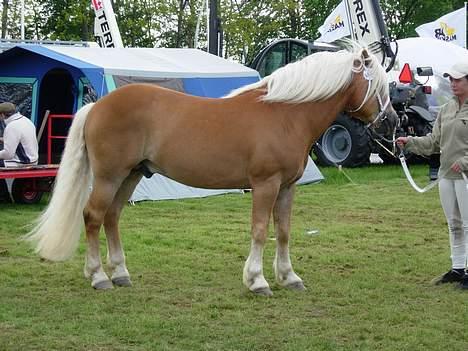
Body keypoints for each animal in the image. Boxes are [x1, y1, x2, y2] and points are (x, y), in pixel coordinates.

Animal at [25, 44, 396, 296]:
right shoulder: (265, 184)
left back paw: (119, 273)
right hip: (108, 176)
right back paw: (99, 276)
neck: (284, 114)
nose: (392, 121)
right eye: (377, 84)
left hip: (130, 175)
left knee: (112, 217)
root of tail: (97, 105)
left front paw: (289, 277)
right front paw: (257, 280)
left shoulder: (287, 187)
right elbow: (260, 230)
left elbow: (284, 231)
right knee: (93, 216)